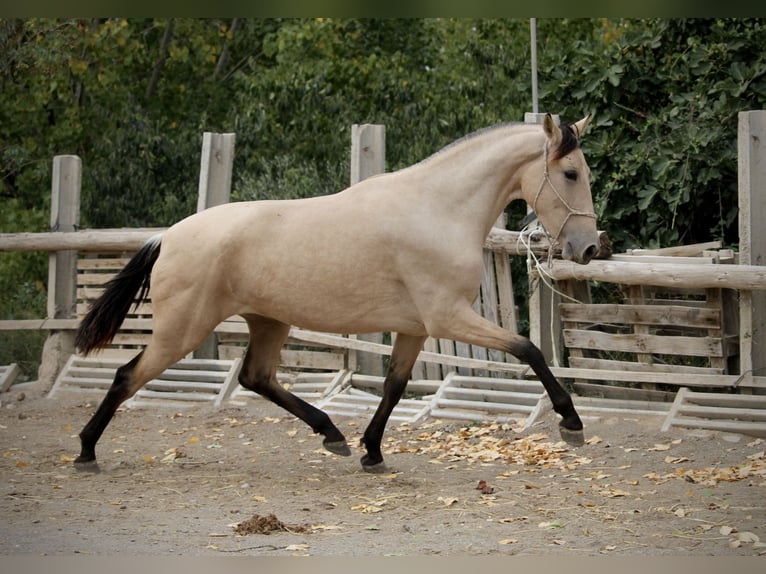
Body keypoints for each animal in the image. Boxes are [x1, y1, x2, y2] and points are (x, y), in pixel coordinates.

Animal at [73, 112, 600, 472]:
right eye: (571, 173)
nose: (590, 247)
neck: (438, 209)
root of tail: (167, 236)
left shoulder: (416, 328)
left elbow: (394, 386)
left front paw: (372, 451)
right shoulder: (448, 317)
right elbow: (528, 349)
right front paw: (570, 422)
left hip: (269, 321)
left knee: (256, 377)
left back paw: (331, 433)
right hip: (182, 330)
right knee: (127, 376)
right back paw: (86, 451)